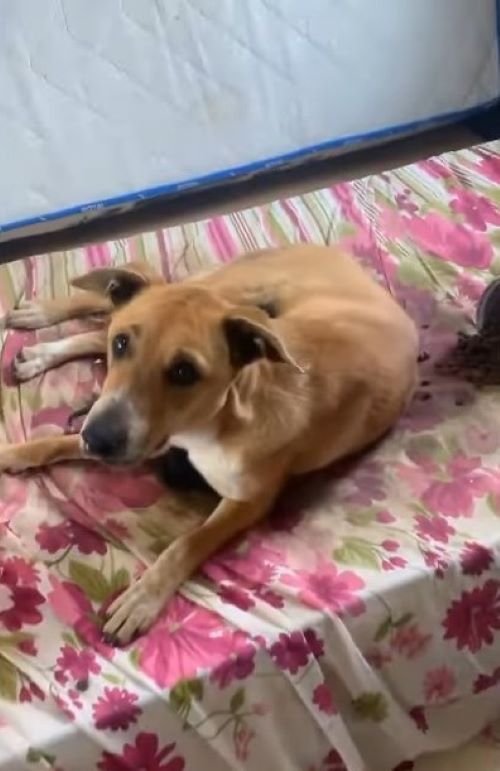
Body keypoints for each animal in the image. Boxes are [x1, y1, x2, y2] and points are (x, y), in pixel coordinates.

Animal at [0, 244, 418, 644]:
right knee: (107, 311)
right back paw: (41, 321)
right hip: (238, 293)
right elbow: (58, 440)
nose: (98, 439)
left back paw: (38, 350)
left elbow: (187, 542)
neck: (224, 412)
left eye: (184, 372)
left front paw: (143, 598)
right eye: (123, 345)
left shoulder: (245, 502)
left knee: (99, 325)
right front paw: (18, 451)